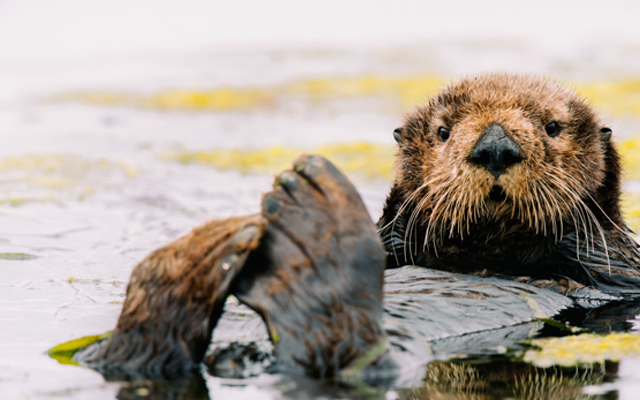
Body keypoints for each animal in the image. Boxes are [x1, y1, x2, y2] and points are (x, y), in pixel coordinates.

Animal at [73, 74, 640, 382]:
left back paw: (308, 227)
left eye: (552, 126)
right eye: (443, 131)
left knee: (341, 354)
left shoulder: (618, 271)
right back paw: (198, 255)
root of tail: (238, 358)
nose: (495, 146)